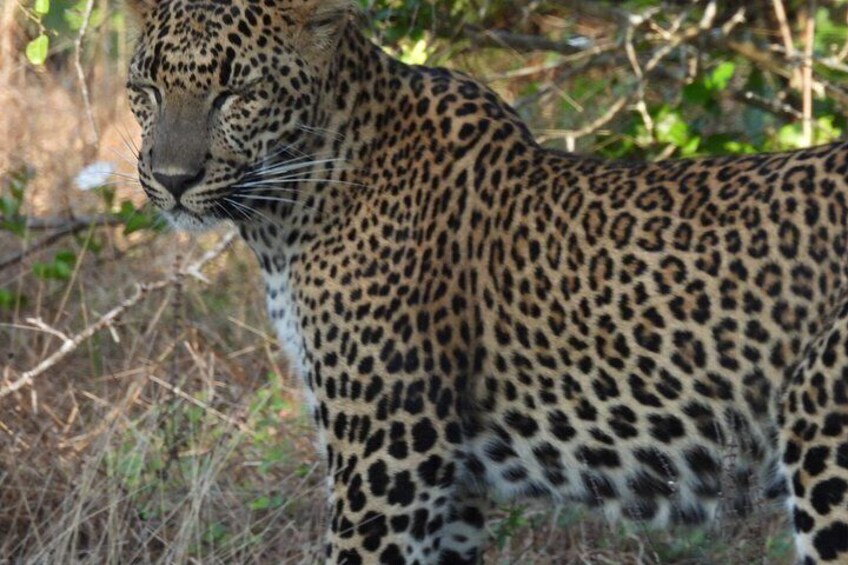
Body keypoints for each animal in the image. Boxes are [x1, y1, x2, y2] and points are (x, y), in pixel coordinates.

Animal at [124, 0, 848, 563]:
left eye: (236, 93)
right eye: (147, 87)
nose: (172, 179)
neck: (287, 212)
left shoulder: (390, 458)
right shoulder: (454, 487)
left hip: (825, 442)